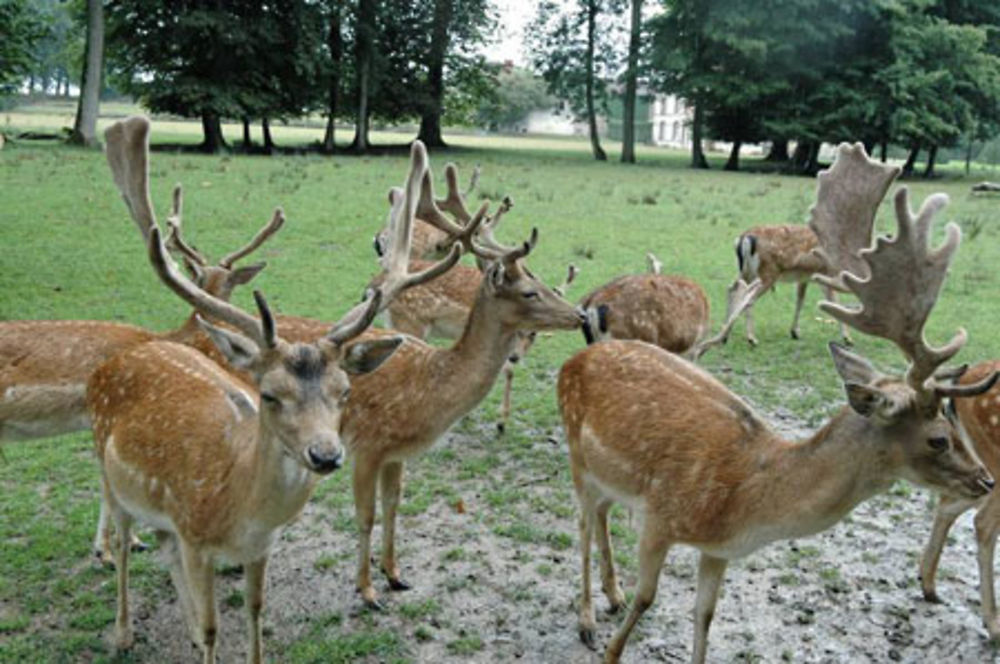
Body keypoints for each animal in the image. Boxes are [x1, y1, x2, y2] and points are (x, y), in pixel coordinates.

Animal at [91, 116, 458, 660]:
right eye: (269, 394)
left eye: (344, 392)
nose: (326, 454)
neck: (238, 509)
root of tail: (118, 359)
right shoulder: (195, 537)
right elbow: (213, 629)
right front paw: (198, 637)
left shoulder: (259, 548)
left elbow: (255, 612)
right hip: (112, 476)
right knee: (121, 542)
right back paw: (122, 632)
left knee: (159, 548)